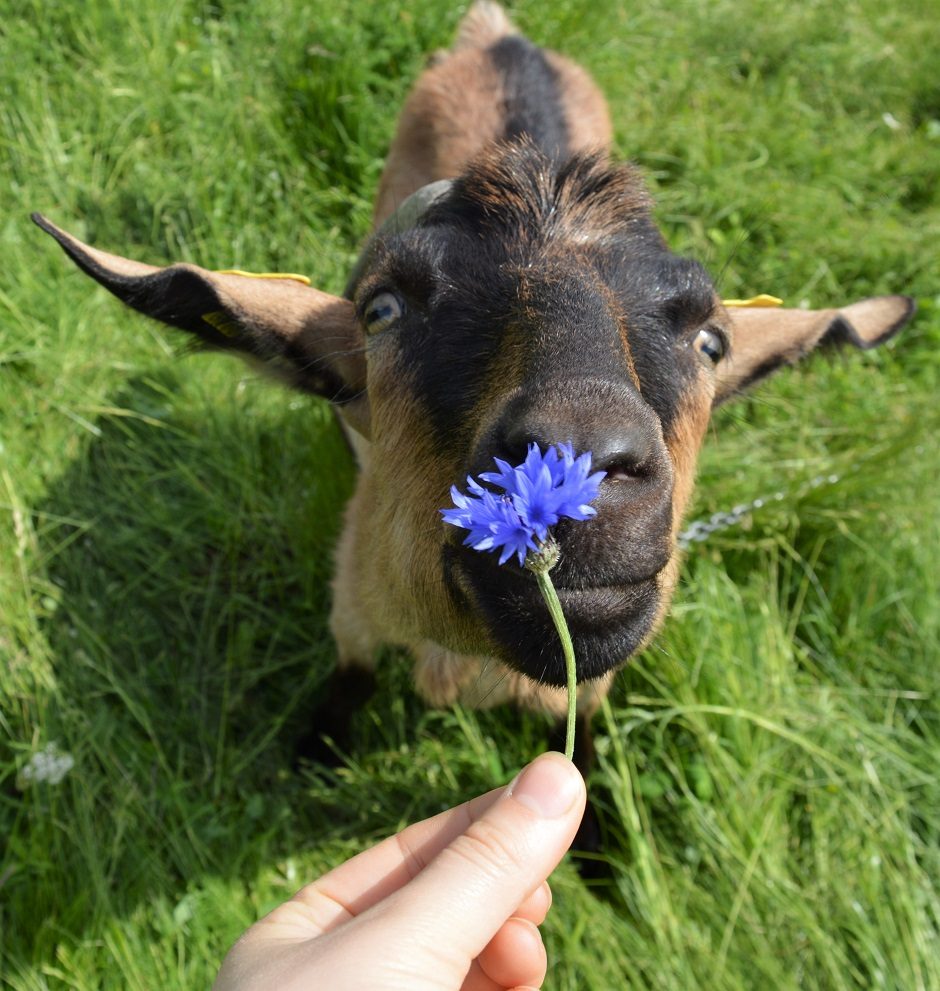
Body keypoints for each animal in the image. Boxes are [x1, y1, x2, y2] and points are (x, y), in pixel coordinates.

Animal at [35, 3, 912, 784]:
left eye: (711, 340)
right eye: (383, 309)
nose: (578, 457)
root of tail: (500, 34)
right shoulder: (354, 598)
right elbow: (350, 676)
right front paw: (318, 751)